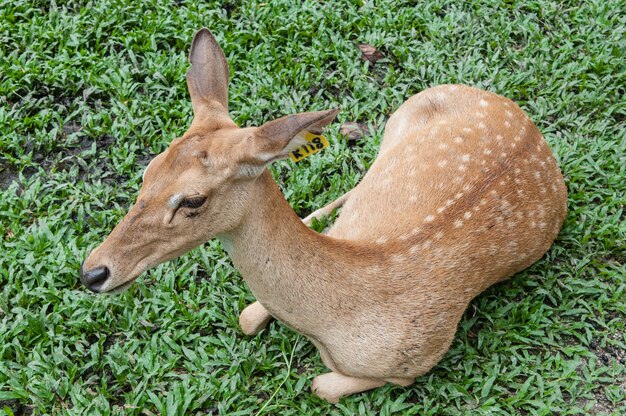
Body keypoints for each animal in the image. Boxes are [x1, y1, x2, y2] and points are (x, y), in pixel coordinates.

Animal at [78, 26, 564, 404]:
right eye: (148, 170)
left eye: (193, 200)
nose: (93, 272)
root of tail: (529, 125)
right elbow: (247, 317)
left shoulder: (416, 361)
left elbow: (320, 385)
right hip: (398, 120)